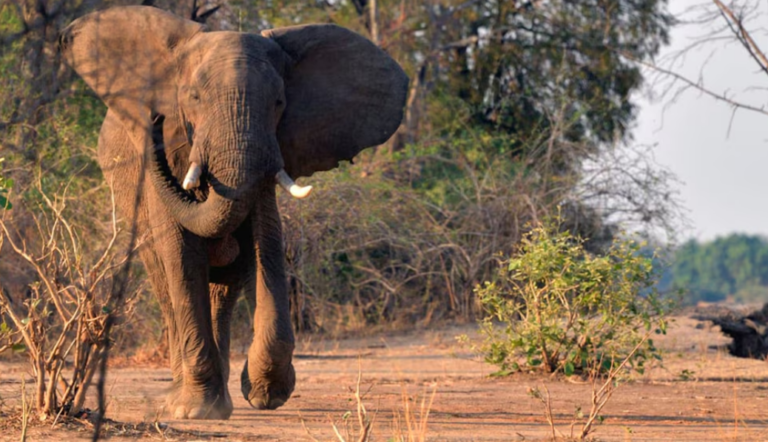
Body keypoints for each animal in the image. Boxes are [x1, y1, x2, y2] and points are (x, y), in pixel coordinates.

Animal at [59, 6, 407, 419]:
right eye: (193, 98)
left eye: (279, 102)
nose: (155, 121)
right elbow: (182, 254)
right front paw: (194, 412)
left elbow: (265, 244)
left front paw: (265, 394)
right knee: (165, 281)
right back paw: (183, 396)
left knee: (224, 290)